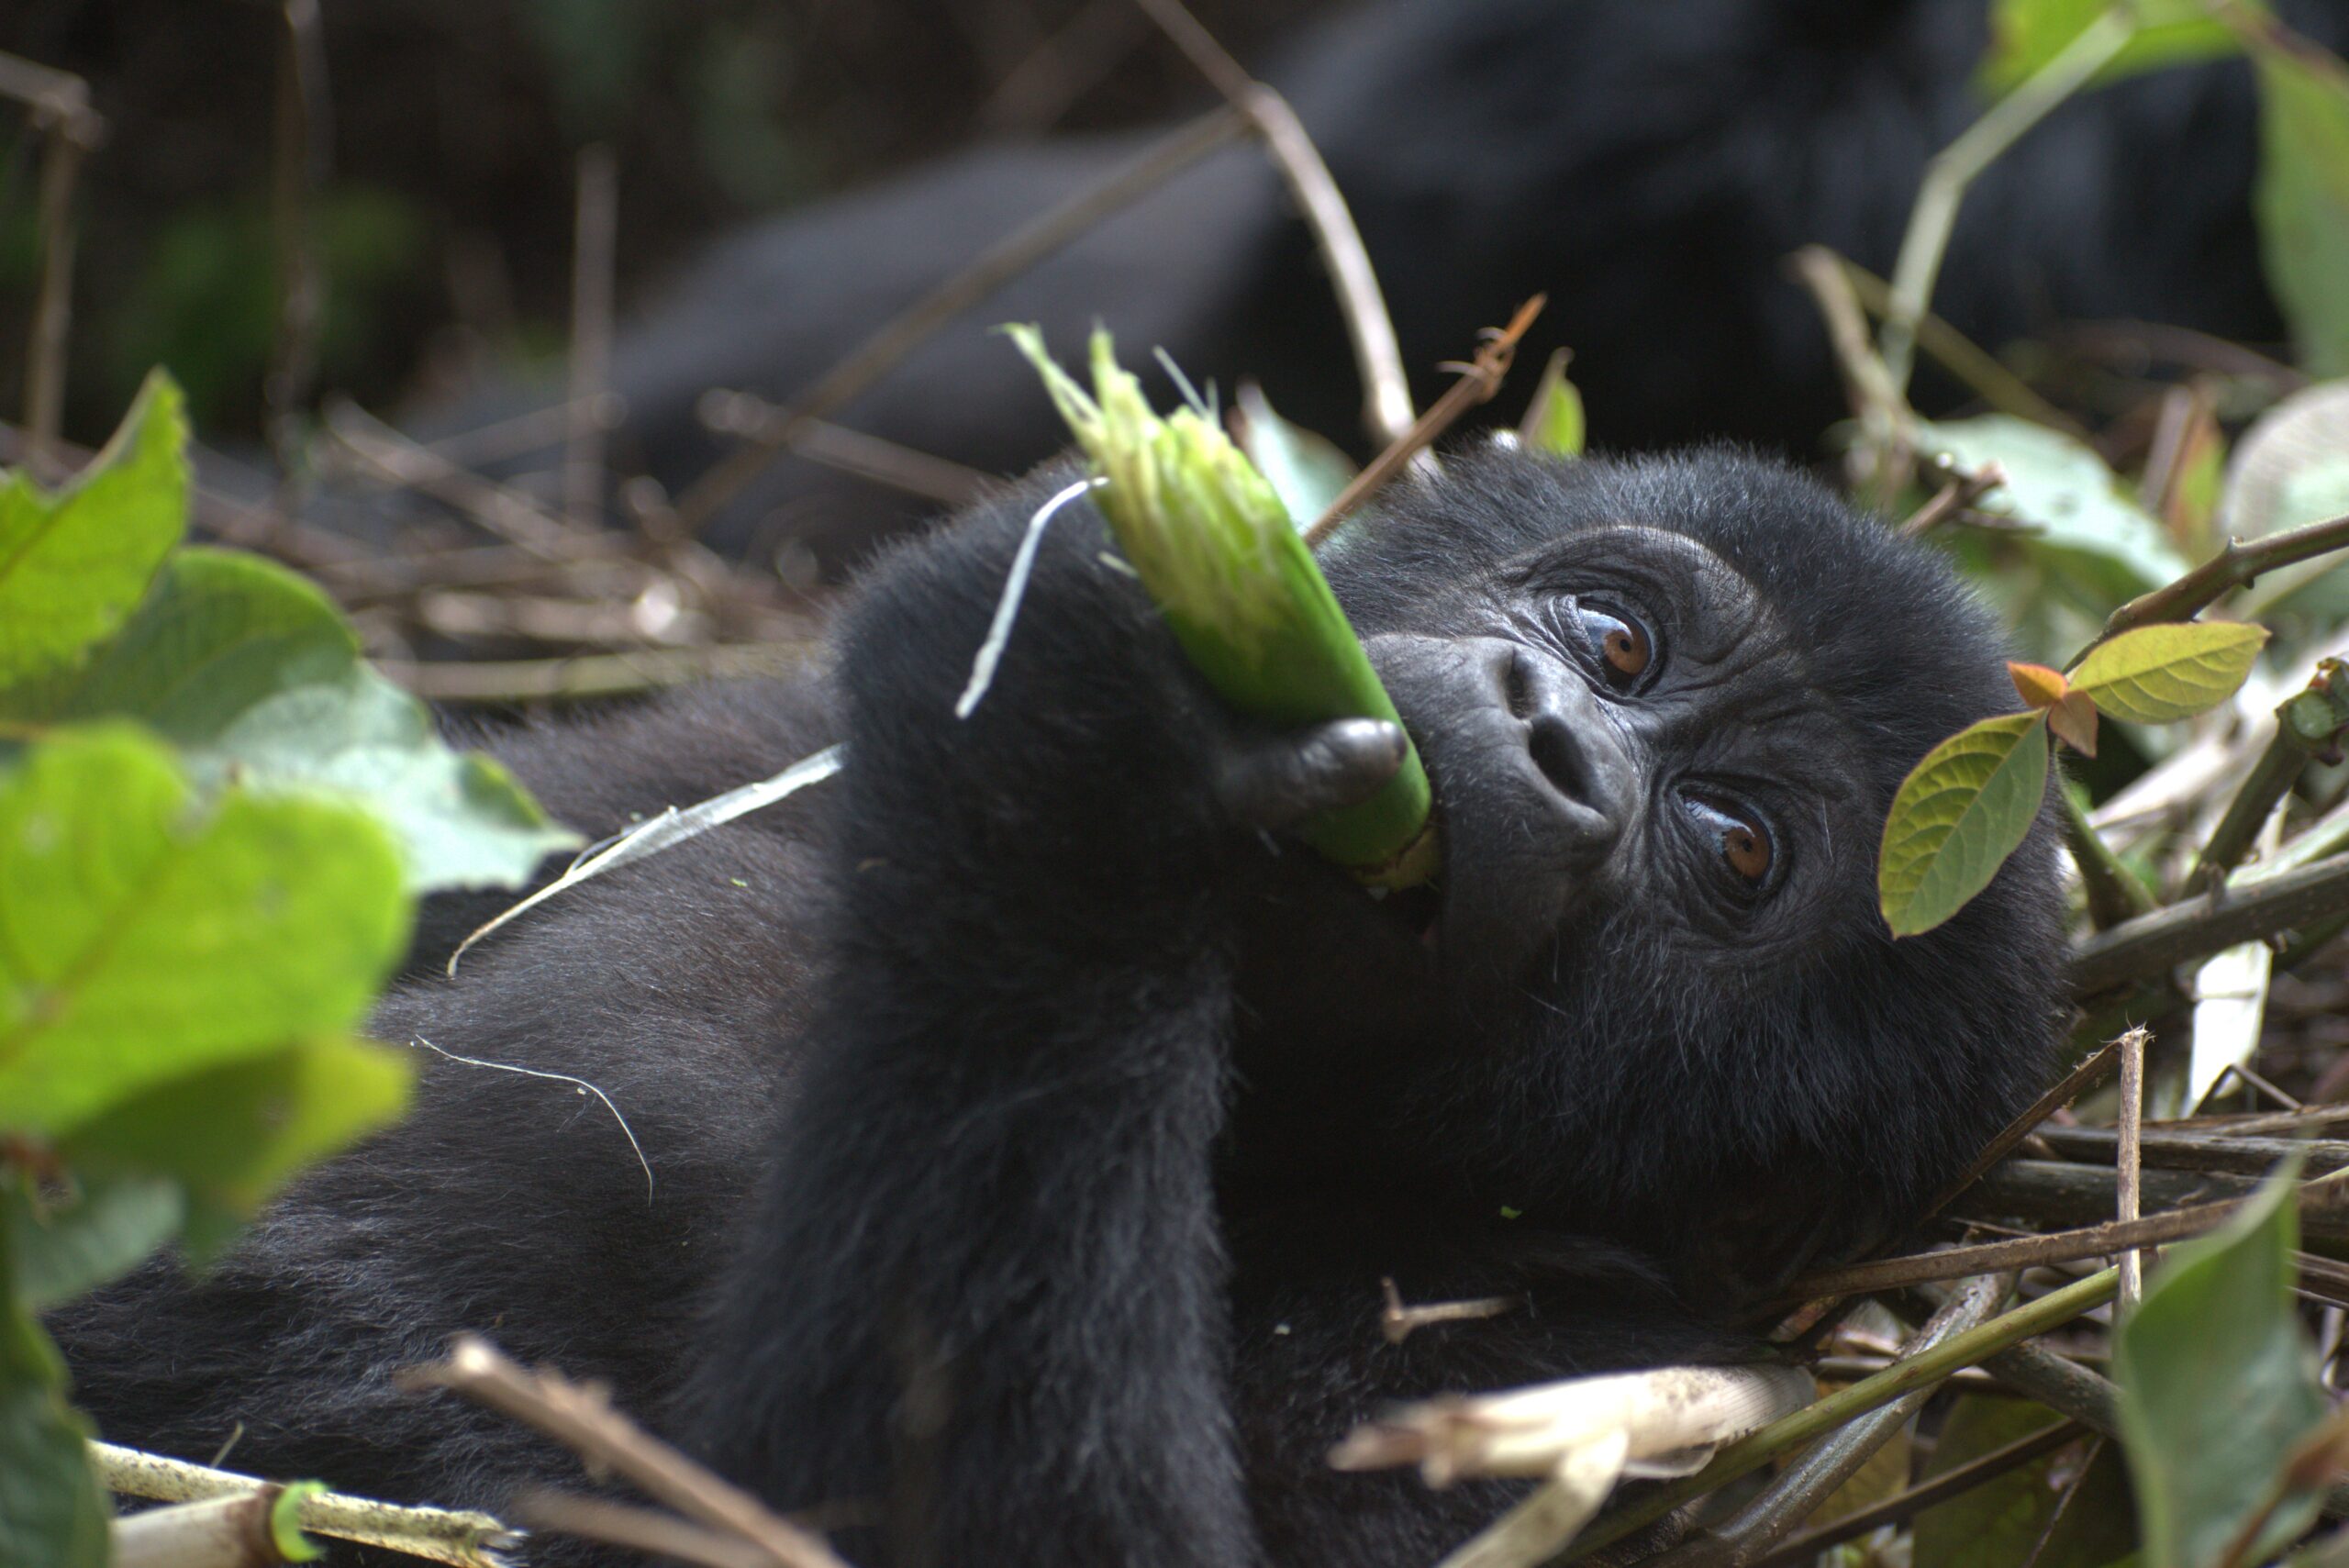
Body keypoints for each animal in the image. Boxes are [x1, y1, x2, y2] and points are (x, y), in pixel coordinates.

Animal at [55, 443, 2066, 1568]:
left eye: (1734, 845)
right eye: (1618, 640)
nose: (1543, 729)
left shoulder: (1542, 1362)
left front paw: (1071, 761)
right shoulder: (733, 741)